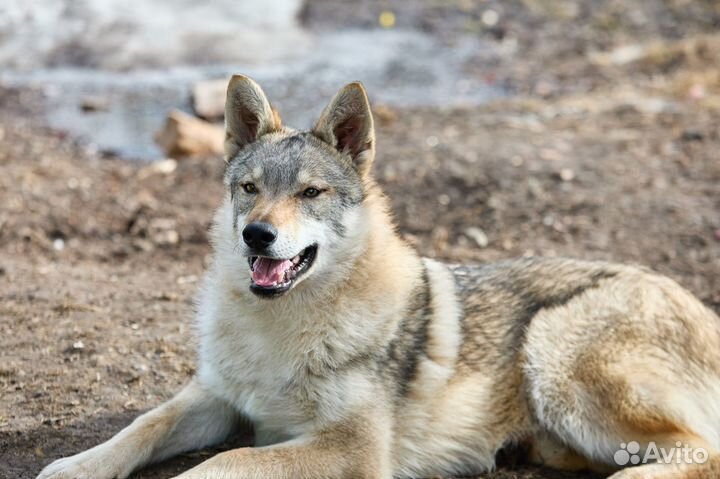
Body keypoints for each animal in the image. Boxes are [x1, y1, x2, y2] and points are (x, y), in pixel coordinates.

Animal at [38, 77, 720, 478]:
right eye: (250, 188)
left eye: (310, 193)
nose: (256, 235)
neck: (279, 329)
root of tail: (702, 310)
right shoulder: (217, 397)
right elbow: (141, 427)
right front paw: (76, 467)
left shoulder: (352, 449)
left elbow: (220, 465)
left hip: (554, 355)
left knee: (700, 451)